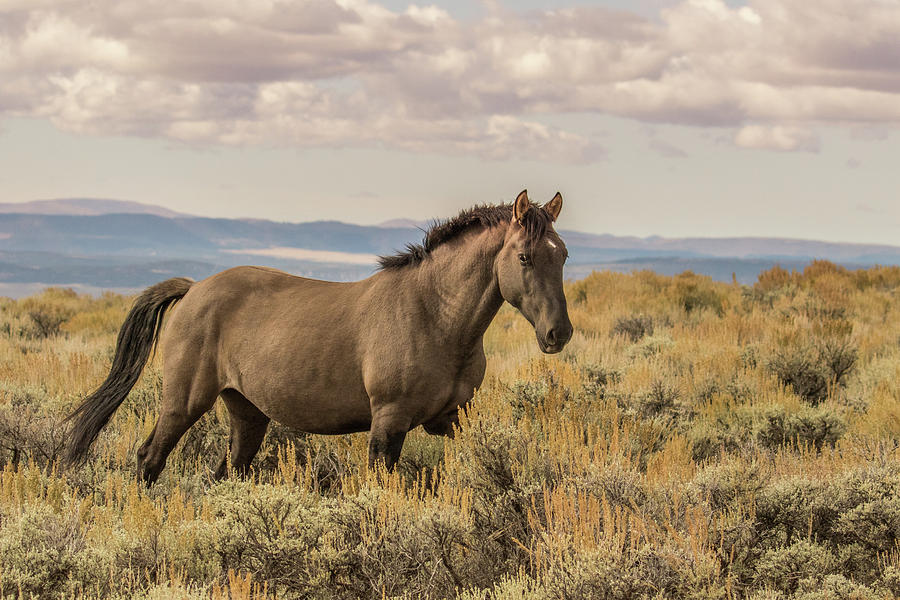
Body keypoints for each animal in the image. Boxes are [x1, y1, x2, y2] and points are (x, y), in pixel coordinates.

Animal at [63, 190, 572, 480]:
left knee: (227, 471)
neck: (434, 316)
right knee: (150, 458)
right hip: (183, 402)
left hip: (246, 412)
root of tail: (194, 289)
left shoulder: (450, 418)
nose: (558, 333)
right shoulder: (388, 422)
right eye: (524, 257)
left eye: (563, 254)